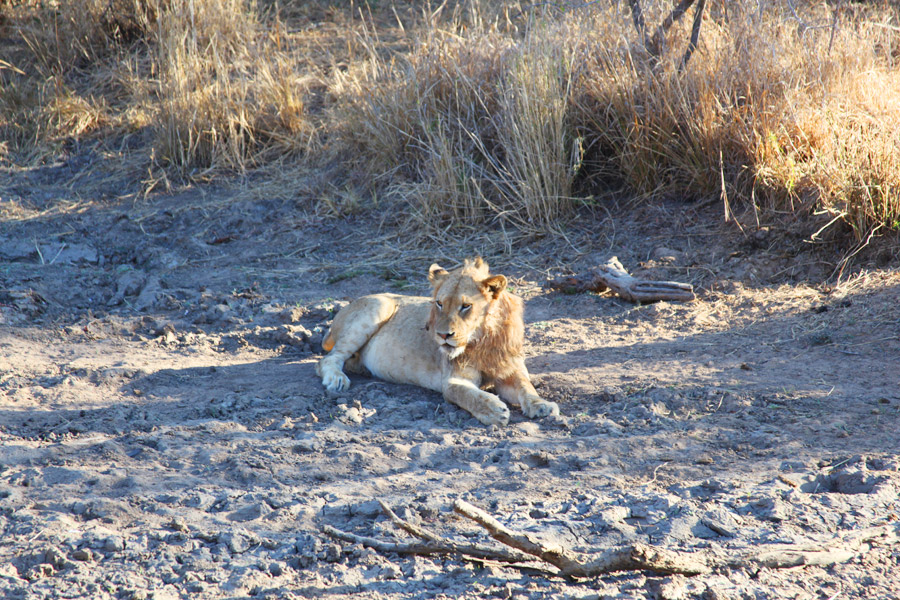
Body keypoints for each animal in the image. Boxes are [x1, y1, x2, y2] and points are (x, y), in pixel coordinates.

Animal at [314, 258, 556, 426]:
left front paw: (542, 406)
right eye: (439, 303)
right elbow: (468, 395)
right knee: (328, 359)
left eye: (466, 306)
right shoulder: (453, 381)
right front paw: (494, 410)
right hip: (378, 306)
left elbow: (526, 386)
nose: (442, 335)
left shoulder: (510, 370)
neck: (482, 340)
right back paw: (337, 379)